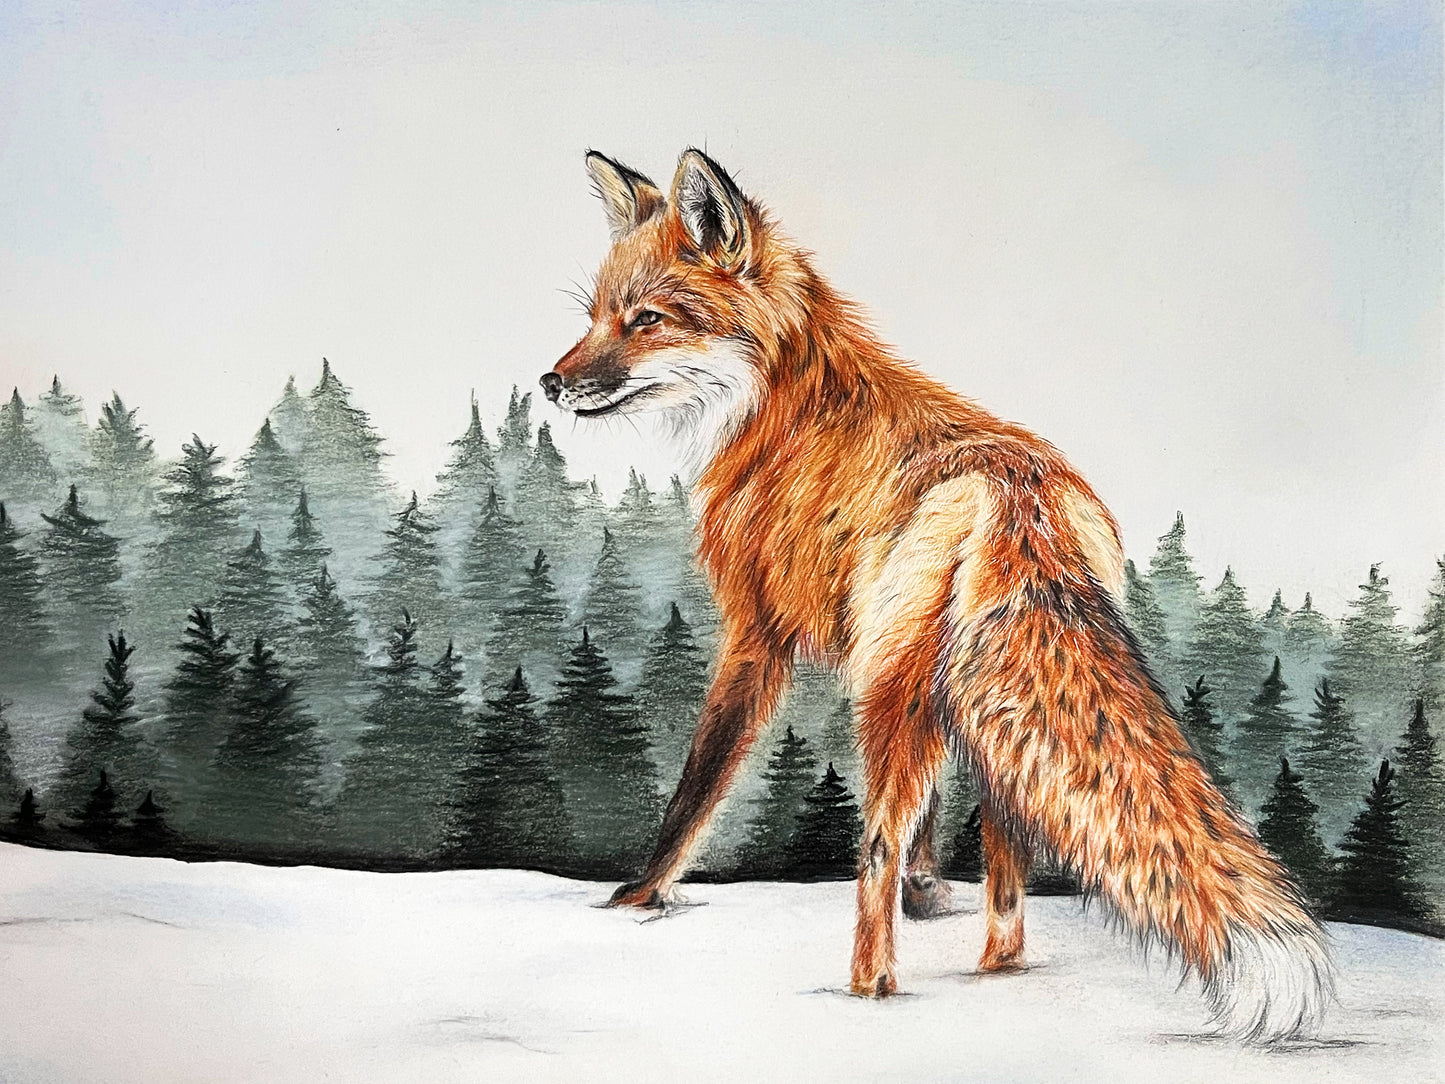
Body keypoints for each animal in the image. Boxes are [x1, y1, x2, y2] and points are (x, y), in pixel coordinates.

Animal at [540, 147, 1333, 1042]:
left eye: (647, 320)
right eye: (596, 316)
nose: (550, 382)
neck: (781, 403)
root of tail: (1016, 492)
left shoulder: (755, 632)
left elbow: (698, 785)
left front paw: (637, 895)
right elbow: (932, 822)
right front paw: (930, 894)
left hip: (890, 693)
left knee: (875, 848)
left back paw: (868, 987)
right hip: (974, 702)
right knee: (1007, 852)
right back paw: (996, 968)